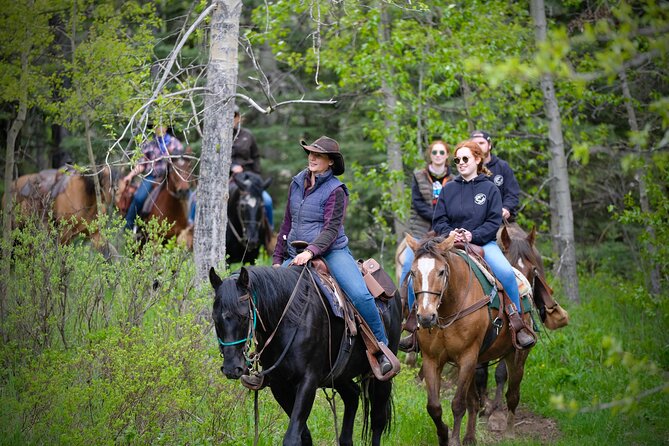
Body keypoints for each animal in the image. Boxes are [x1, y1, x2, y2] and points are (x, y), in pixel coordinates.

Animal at [209, 264, 402, 446]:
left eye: (243, 317)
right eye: (215, 318)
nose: (231, 369)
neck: (289, 319)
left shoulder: (308, 381)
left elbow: (292, 438)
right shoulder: (279, 385)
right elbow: (304, 437)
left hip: (381, 378)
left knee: (378, 421)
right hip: (339, 375)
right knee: (352, 397)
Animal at [402, 233, 532, 446]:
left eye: (441, 272)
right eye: (413, 273)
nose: (426, 317)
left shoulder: (467, 357)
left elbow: (458, 404)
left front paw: (454, 440)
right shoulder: (432, 360)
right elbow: (434, 406)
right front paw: (444, 435)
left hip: (516, 356)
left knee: (512, 394)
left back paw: (509, 432)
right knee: (474, 401)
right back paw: (470, 437)